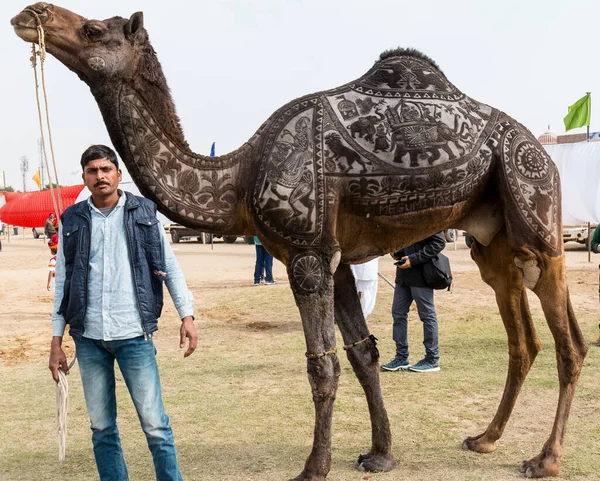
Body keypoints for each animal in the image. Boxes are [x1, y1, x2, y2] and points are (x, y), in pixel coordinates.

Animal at [11, 4, 588, 480]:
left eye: (92, 29)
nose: (31, 13)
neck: (238, 176)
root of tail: (540, 150)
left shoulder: (306, 255)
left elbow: (322, 364)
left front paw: (314, 468)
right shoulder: (337, 261)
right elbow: (364, 353)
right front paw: (380, 454)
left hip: (536, 213)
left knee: (569, 343)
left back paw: (544, 460)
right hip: (492, 246)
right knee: (523, 340)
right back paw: (485, 439)